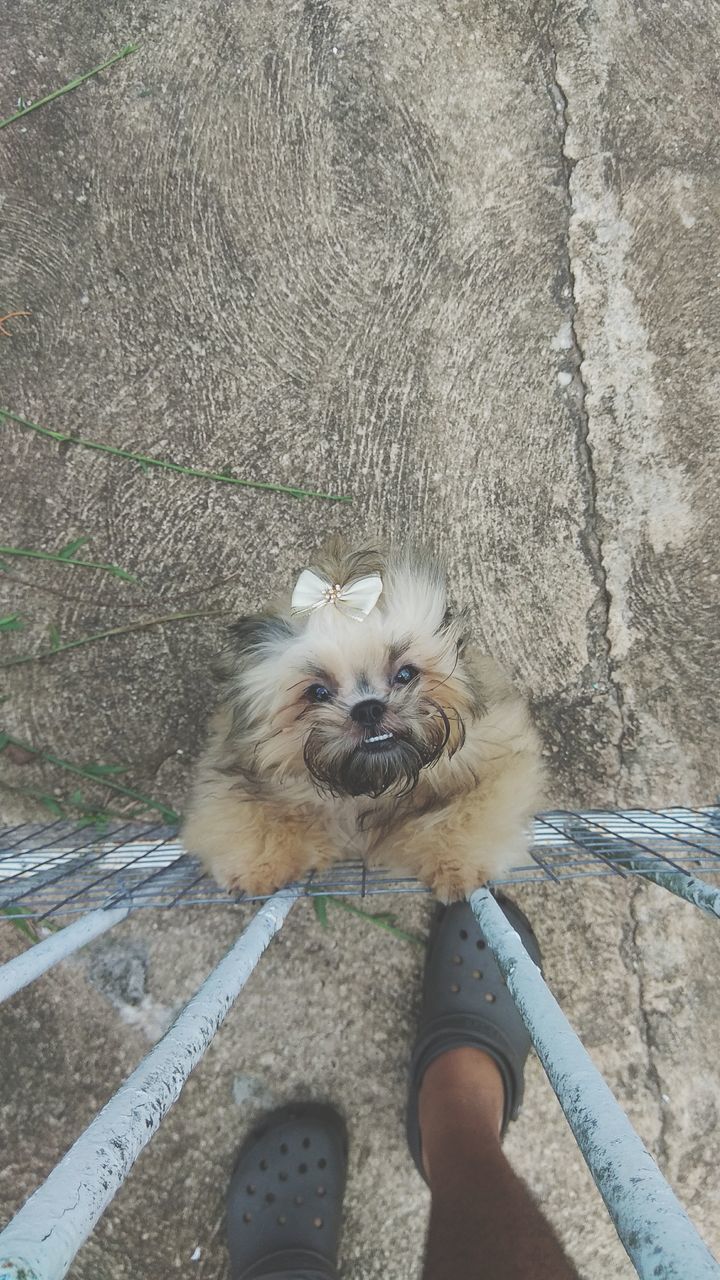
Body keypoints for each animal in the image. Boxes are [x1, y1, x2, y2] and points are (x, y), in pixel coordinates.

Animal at [181, 540, 540, 901]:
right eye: (318, 693)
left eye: (405, 674)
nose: (368, 709)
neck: (375, 785)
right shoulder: (235, 778)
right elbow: (256, 814)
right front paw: (260, 865)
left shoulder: (498, 757)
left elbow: (462, 813)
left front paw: (455, 863)